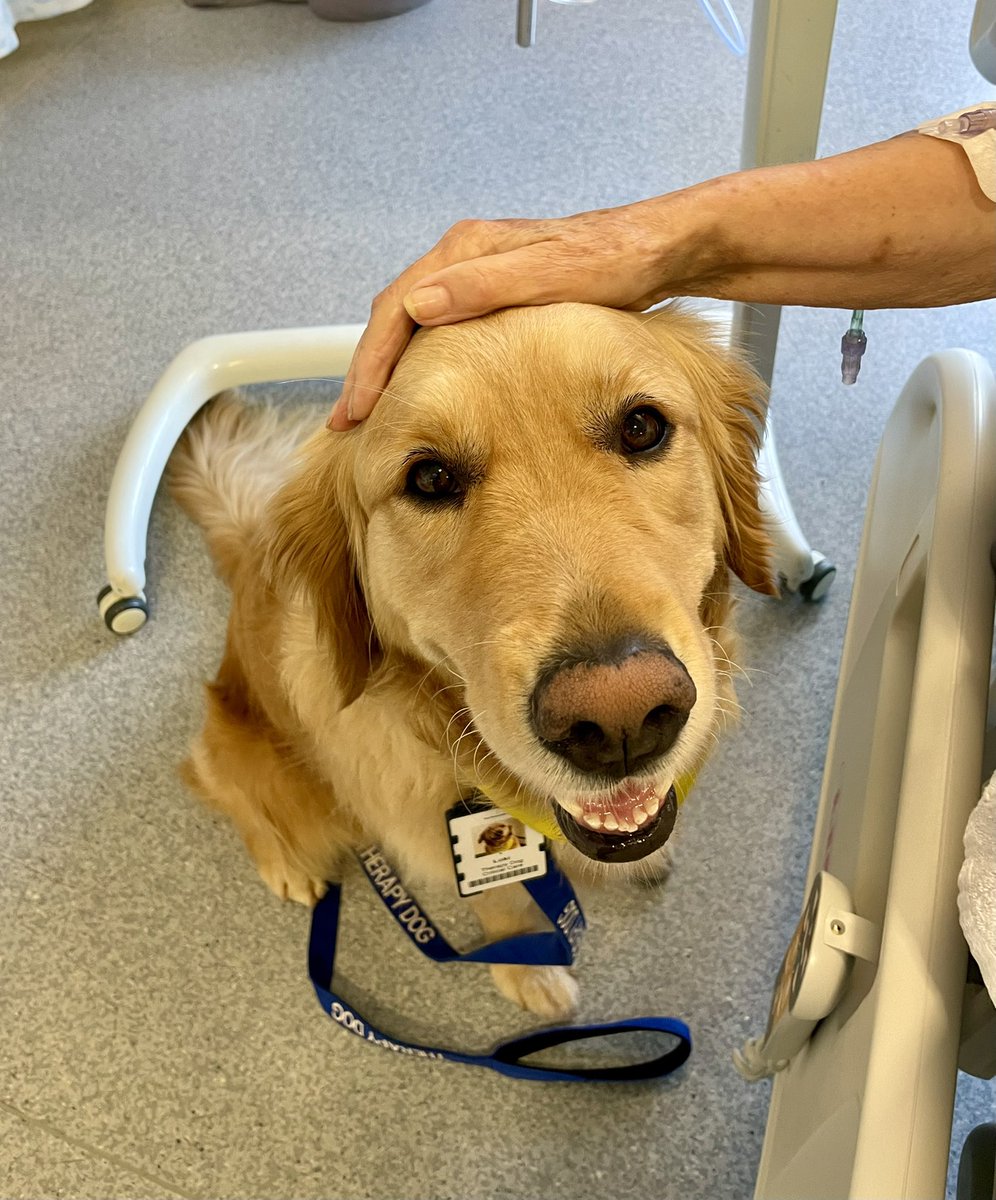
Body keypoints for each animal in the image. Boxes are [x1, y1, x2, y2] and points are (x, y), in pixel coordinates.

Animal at [169, 304, 772, 1017]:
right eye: (430, 479)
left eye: (641, 427)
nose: (620, 718)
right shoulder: (436, 834)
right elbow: (504, 904)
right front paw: (529, 972)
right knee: (223, 785)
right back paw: (285, 862)